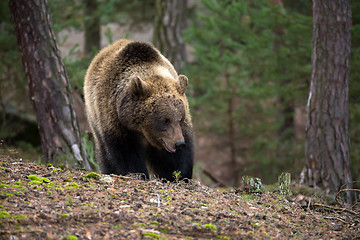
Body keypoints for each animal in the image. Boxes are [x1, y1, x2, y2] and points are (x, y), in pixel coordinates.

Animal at [84, 39, 193, 181]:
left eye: (180, 119)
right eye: (165, 120)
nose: (179, 143)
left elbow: (179, 158)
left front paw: (178, 175)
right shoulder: (116, 123)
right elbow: (125, 154)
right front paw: (137, 174)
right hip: (95, 118)